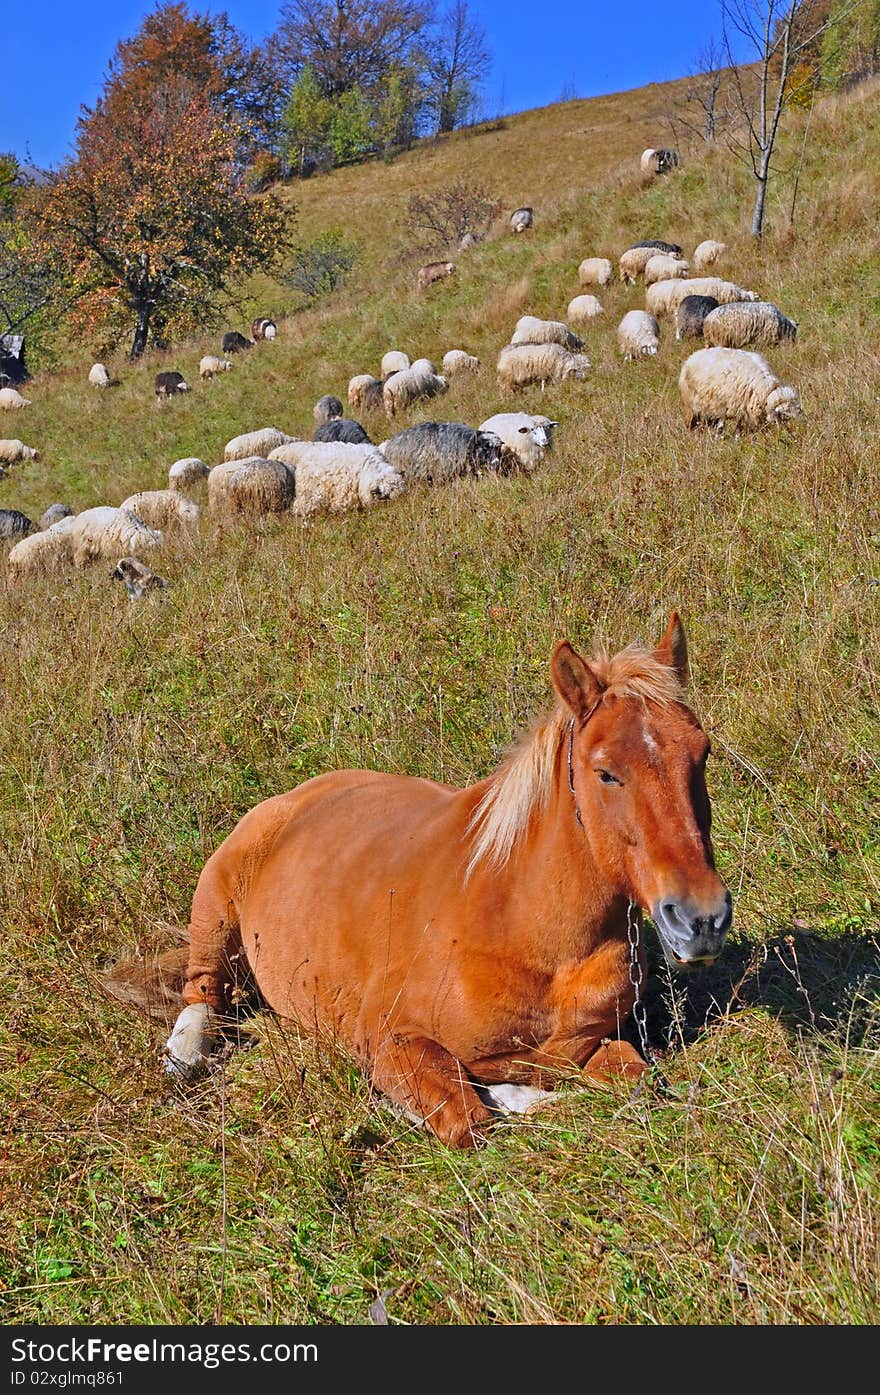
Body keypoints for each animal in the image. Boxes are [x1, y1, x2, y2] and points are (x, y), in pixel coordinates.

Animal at [154, 616, 730, 1149]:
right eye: (606, 773)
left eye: (700, 753)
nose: (701, 919)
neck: (527, 928)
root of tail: (296, 795)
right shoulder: (393, 1042)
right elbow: (472, 1120)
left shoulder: (597, 1044)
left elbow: (638, 1083)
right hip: (215, 916)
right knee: (202, 994)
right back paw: (183, 1057)